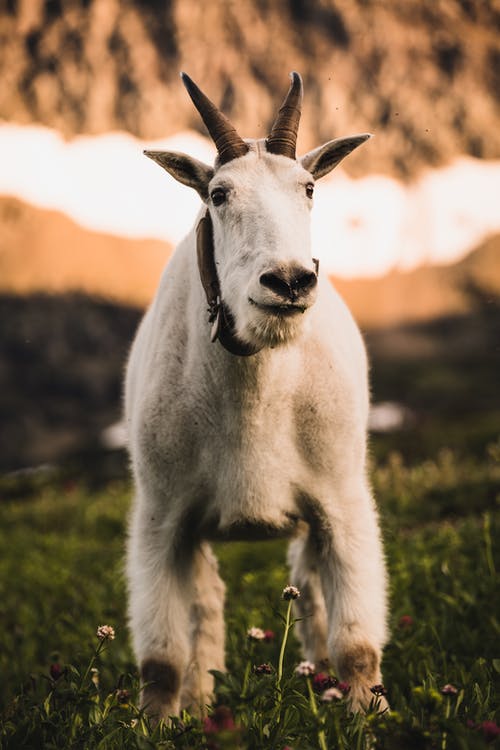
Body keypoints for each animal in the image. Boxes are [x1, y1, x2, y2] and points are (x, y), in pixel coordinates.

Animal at [124, 72, 386, 724]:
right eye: (218, 194)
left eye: (309, 188)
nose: (288, 281)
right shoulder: (161, 515)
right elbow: (162, 660)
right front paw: (160, 724)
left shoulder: (342, 501)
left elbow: (357, 645)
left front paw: (366, 719)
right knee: (207, 606)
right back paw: (201, 702)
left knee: (309, 588)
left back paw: (317, 678)